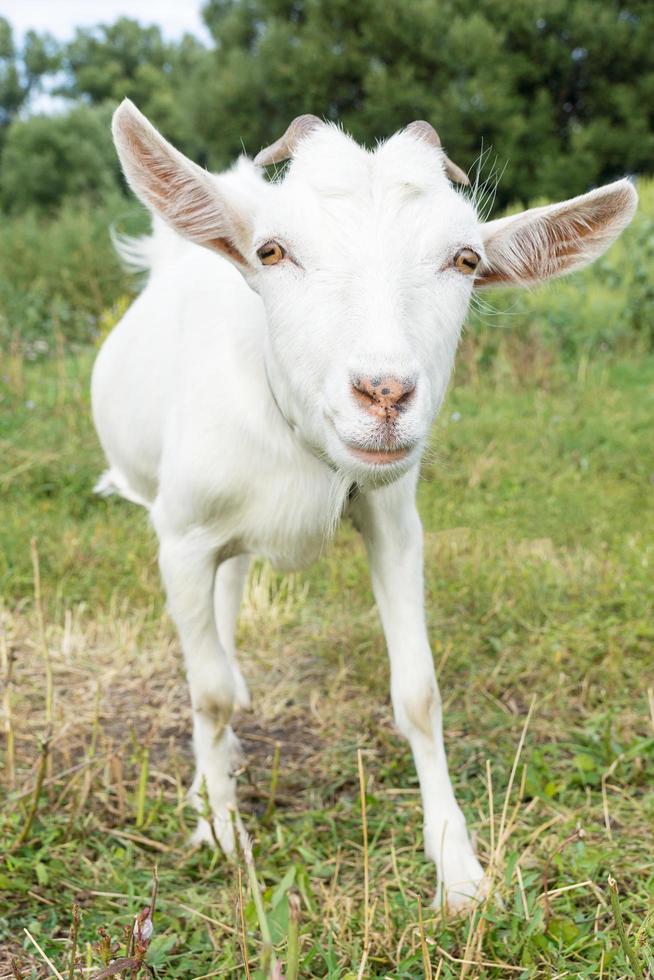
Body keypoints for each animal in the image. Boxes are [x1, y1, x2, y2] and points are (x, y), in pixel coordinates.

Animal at [95, 99, 640, 912]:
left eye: (466, 260)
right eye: (273, 251)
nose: (384, 393)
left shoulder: (392, 523)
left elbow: (418, 692)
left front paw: (458, 869)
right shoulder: (182, 537)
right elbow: (208, 694)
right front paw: (219, 827)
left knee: (233, 589)